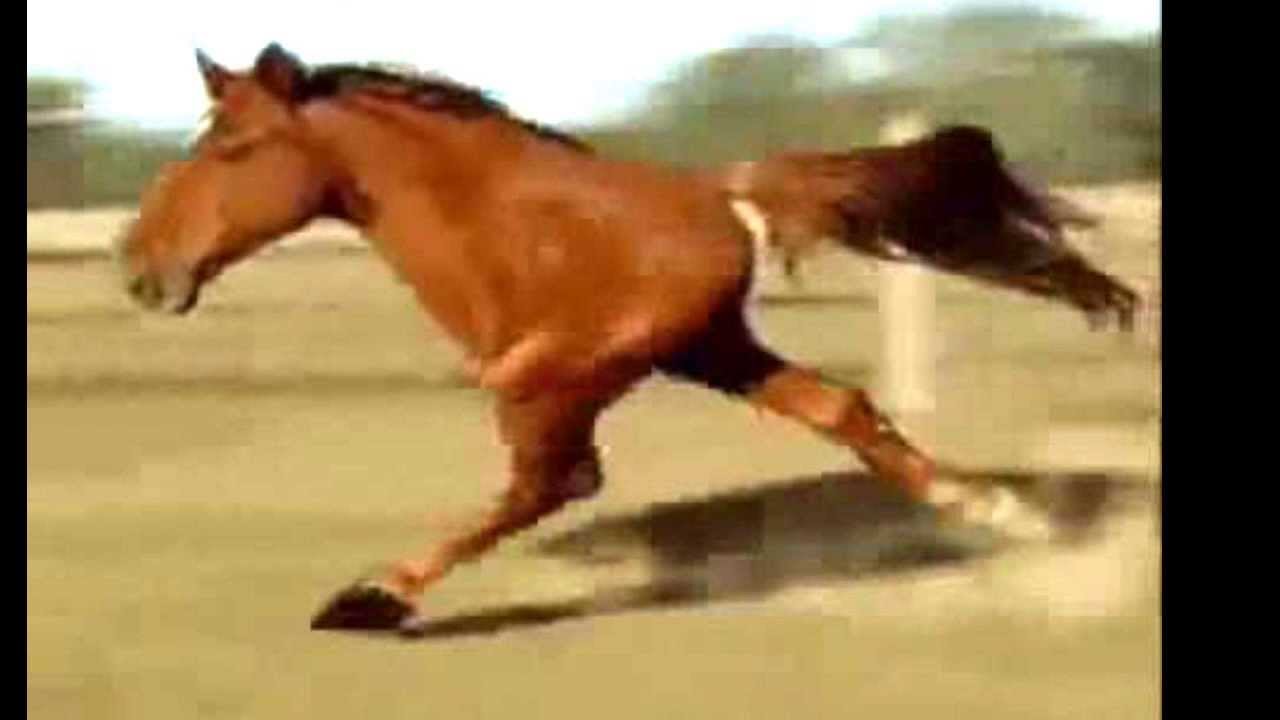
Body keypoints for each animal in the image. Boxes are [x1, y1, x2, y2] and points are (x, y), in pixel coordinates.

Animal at [116, 43, 1139, 633]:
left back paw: (373, 597)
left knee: (564, 475)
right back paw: (1003, 513)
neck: (501, 227)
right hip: (713, 350)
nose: (139, 265)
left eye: (233, 148)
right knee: (842, 407)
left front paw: (369, 598)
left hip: (637, 361)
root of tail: (726, 194)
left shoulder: (550, 375)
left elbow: (553, 480)